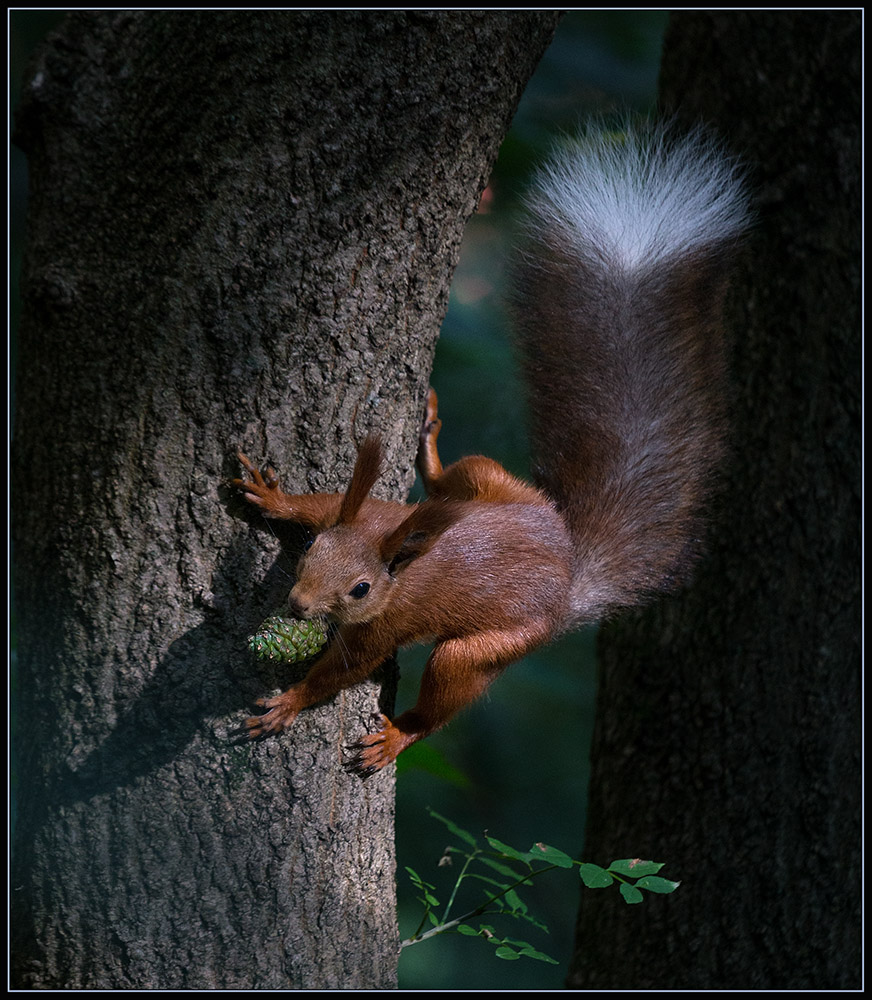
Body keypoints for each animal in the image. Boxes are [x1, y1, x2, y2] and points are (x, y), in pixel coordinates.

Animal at [233, 123, 748, 772]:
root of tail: (567, 575)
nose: (299, 606)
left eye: (361, 590)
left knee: (448, 689)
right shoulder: (366, 512)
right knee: (461, 476)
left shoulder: (384, 624)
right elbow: (320, 503)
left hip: (496, 641)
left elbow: (344, 669)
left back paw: (400, 734)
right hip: (492, 481)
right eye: (311, 551)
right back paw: (429, 452)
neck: (396, 555)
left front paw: (290, 701)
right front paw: (273, 498)